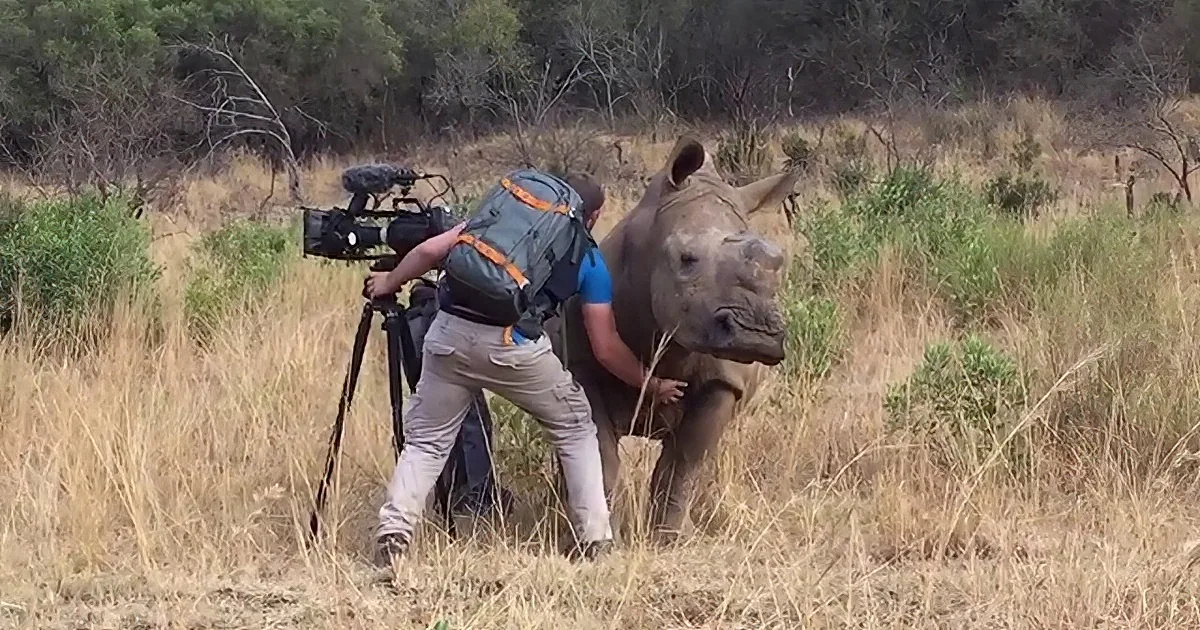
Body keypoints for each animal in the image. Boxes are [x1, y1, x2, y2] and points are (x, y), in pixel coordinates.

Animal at [549, 135, 799, 542]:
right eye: (686, 259)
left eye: (779, 264)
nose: (756, 335)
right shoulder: (583, 368)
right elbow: (601, 457)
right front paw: (605, 534)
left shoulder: (724, 380)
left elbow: (684, 463)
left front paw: (672, 538)